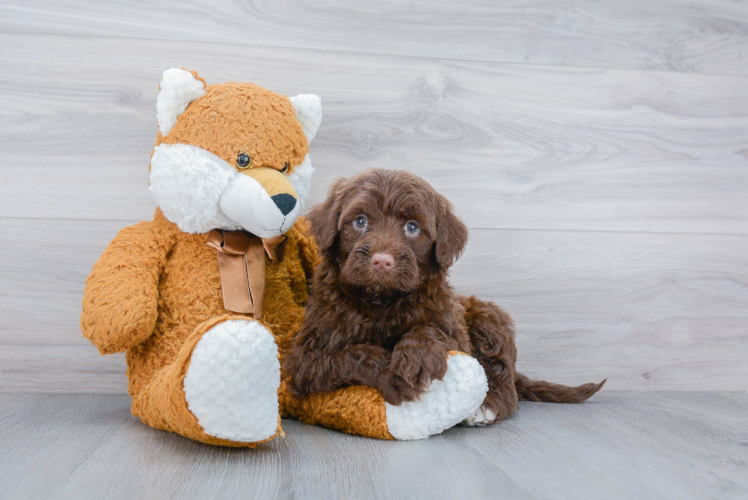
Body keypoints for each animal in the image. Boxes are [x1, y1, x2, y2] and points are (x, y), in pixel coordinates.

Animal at [284, 170, 604, 424]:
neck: (381, 300)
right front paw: (389, 374)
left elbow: (431, 330)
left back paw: (486, 407)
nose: (382, 261)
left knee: (504, 382)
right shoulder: (306, 358)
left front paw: (416, 357)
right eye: (360, 221)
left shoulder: (452, 329)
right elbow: (354, 353)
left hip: (488, 317)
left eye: (412, 227)